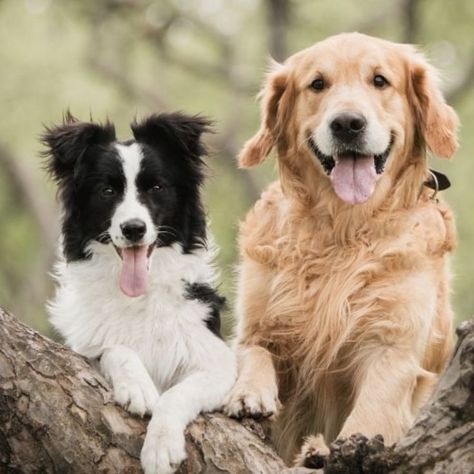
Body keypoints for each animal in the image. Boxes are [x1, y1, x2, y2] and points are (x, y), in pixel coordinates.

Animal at [43, 112, 236, 474]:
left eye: (156, 188)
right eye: (107, 191)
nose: (133, 229)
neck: (140, 295)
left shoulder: (219, 363)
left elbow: (176, 395)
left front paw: (160, 447)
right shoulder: (86, 347)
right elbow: (116, 349)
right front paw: (139, 387)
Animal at [226, 33, 460, 466]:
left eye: (380, 80)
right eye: (318, 84)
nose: (348, 124)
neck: (343, 230)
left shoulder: (392, 346)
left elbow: (367, 416)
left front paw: (329, 451)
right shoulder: (258, 325)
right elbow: (254, 351)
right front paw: (249, 391)